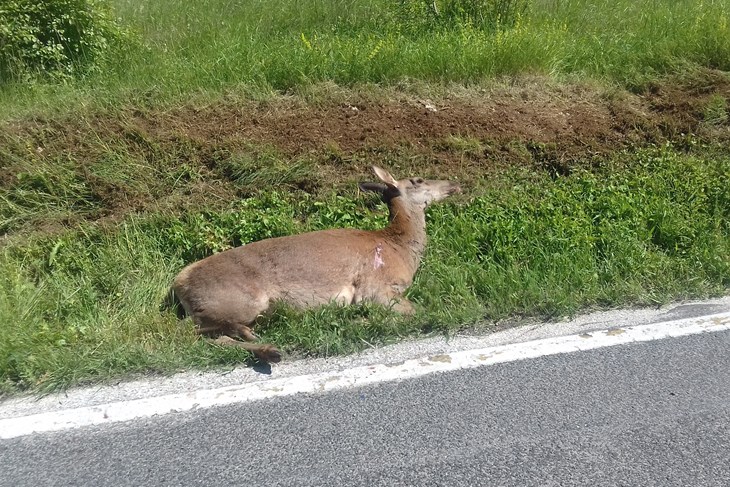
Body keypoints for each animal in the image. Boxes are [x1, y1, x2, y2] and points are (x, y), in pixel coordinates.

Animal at [169, 167, 460, 362]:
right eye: (418, 179)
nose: (454, 183)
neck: (398, 248)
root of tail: (178, 284)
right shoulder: (374, 286)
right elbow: (416, 311)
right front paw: (357, 321)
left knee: (213, 339)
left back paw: (268, 349)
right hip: (239, 300)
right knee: (195, 333)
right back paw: (257, 338)